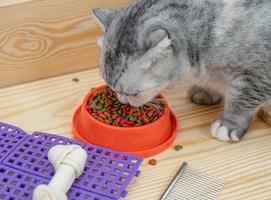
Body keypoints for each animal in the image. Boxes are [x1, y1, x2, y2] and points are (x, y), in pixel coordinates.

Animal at [92, 0, 270, 142]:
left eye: (132, 94)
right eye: (111, 88)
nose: (121, 100)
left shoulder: (258, 74)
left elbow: (241, 100)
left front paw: (230, 124)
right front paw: (205, 92)